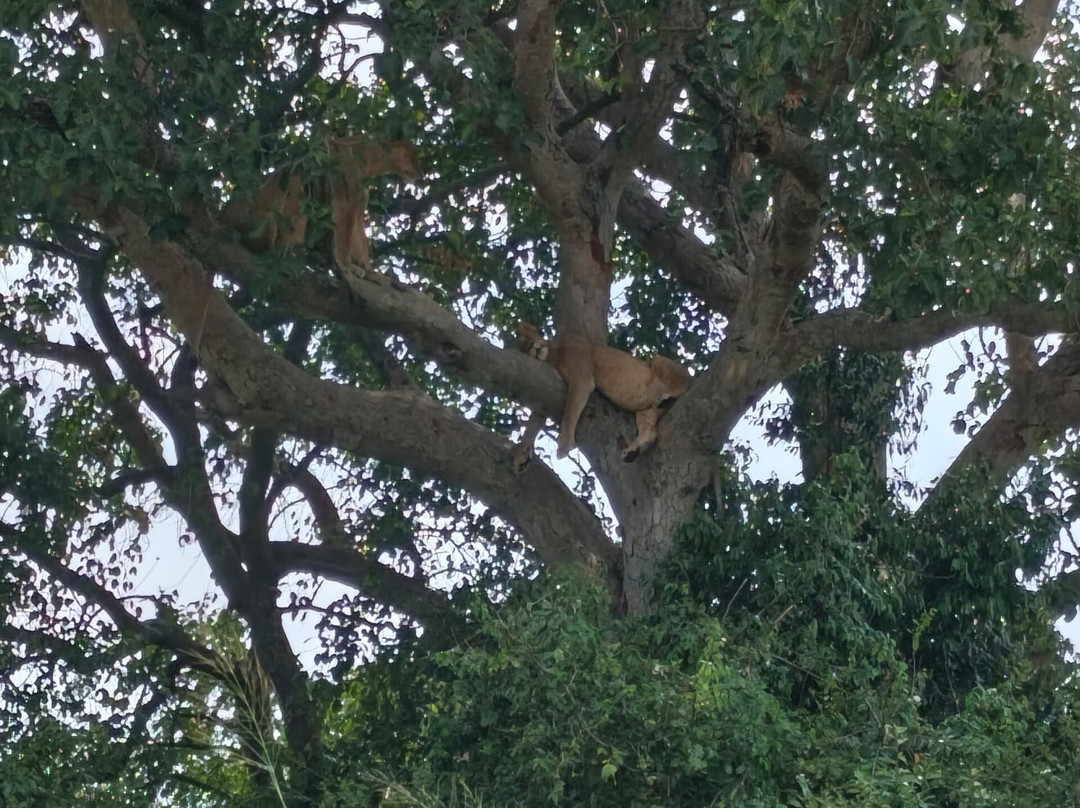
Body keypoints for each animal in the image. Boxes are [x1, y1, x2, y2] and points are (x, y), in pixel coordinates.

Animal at [514, 322, 692, 465]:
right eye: (522, 345)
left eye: (530, 334)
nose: (532, 346)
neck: (554, 356)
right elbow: (534, 422)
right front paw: (521, 453)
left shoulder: (582, 380)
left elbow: (570, 414)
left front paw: (564, 445)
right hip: (645, 410)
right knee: (650, 431)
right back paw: (633, 452)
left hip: (658, 360)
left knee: (685, 385)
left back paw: (669, 397)